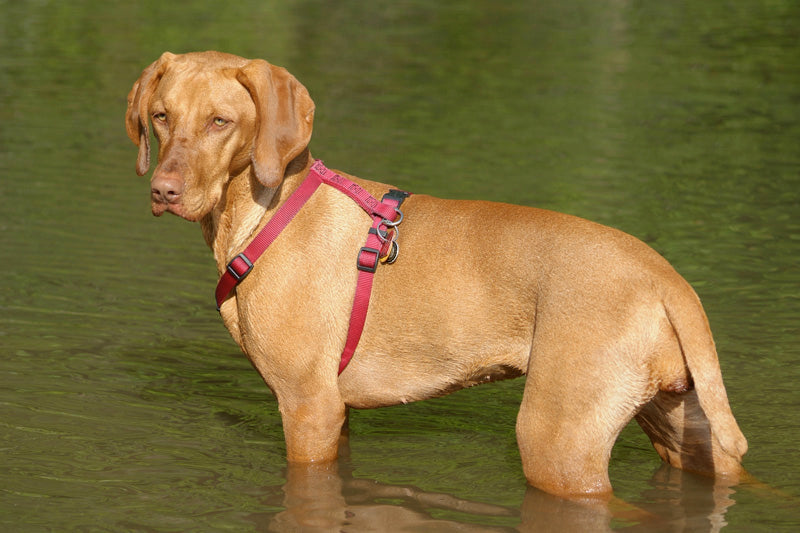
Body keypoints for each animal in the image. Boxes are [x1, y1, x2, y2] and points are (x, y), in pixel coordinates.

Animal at [126, 51, 752, 498]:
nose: (164, 191)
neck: (264, 211)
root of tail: (667, 279)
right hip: (682, 428)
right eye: (161, 116)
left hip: (559, 445)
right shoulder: (336, 415)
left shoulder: (308, 406)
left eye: (220, 121)